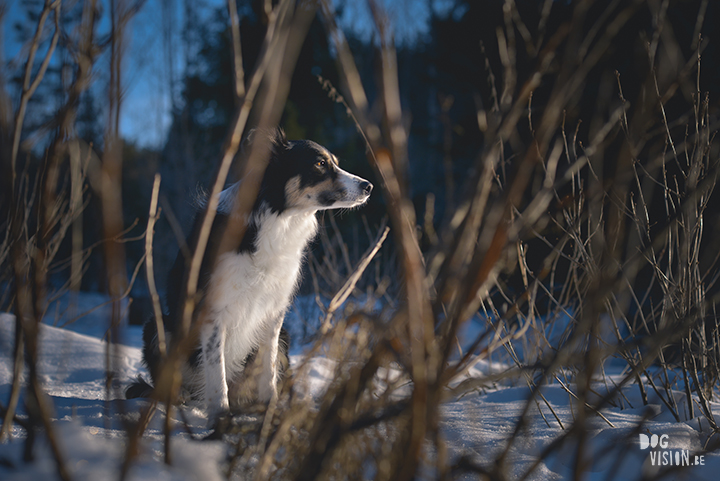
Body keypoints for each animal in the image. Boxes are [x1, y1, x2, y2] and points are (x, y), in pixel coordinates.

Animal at [126, 127, 372, 420]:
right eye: (320, 163)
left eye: (334, 162)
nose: (369, 186)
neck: (276, 219)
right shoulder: (213, 310)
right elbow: (217, 372)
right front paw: (220, 418)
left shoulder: (274, 311)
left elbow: (268, 369)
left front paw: (270, 411)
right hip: (157, 326)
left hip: (285, 337)